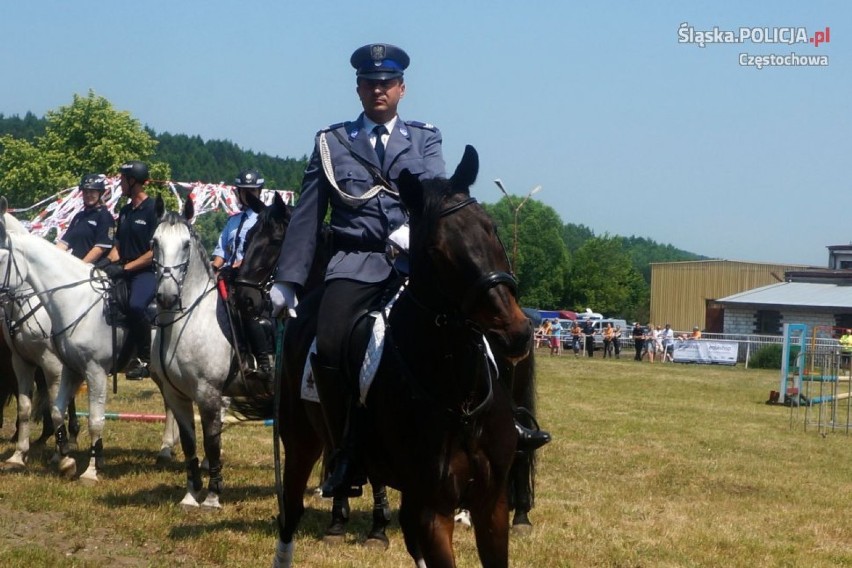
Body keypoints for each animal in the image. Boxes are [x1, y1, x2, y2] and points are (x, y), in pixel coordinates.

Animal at [266, 145, 532, 564]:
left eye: (491, 228)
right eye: (436, 251)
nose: (514, 333)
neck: (459, 397)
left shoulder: (491, 504)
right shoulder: (434, 508)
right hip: (299, 444)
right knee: (290, 514)